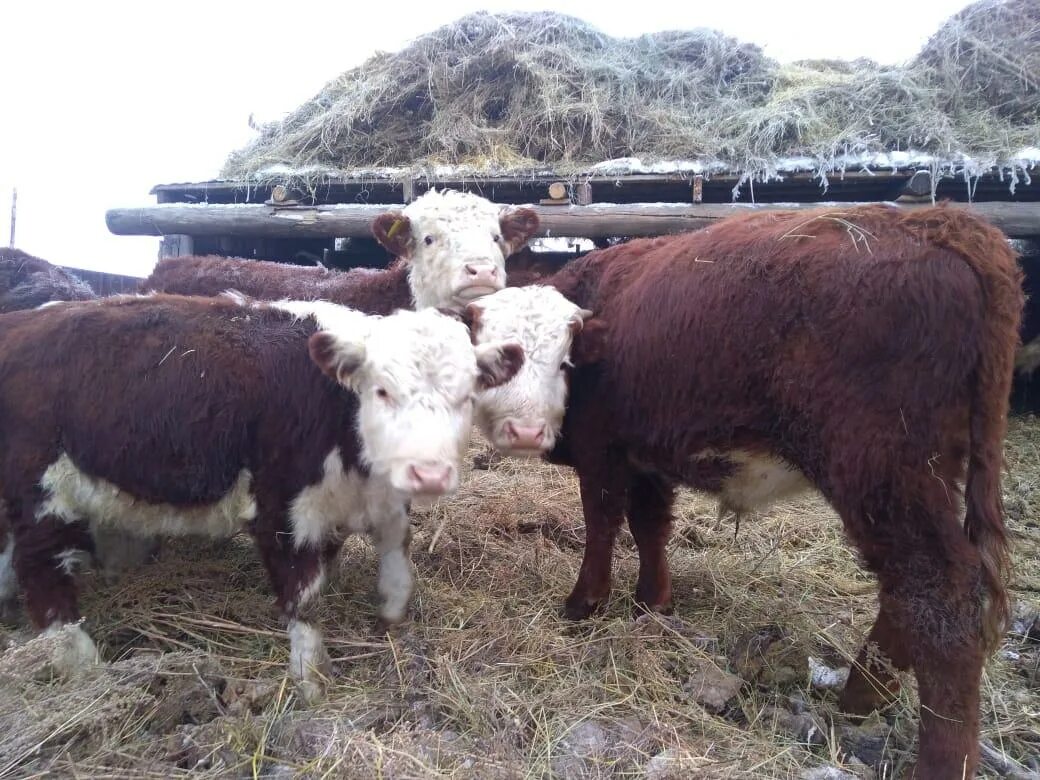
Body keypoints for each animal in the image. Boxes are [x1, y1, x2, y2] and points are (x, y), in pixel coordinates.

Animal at [0, 295, 520, 703]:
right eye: (382, 391)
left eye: (466, 396)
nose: (429, 473)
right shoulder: (284, 507)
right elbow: (304, 595)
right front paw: (311, 677)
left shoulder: (372, 497)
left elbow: (396, 549)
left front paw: (391, 610)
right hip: (42, 494)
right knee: (41, 571)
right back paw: (79, 661)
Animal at [476, 204, 1023, 777]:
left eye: (562, 360)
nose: (525, 431)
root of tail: (942, 222)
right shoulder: (647, 458)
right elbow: (651, 528)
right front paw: (652, 604)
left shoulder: (602, 452)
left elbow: (602, 525)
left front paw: (585, 603)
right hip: (928, 480)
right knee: (908, 590)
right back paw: (861, 694)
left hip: (883, 476)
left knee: (938, 592)